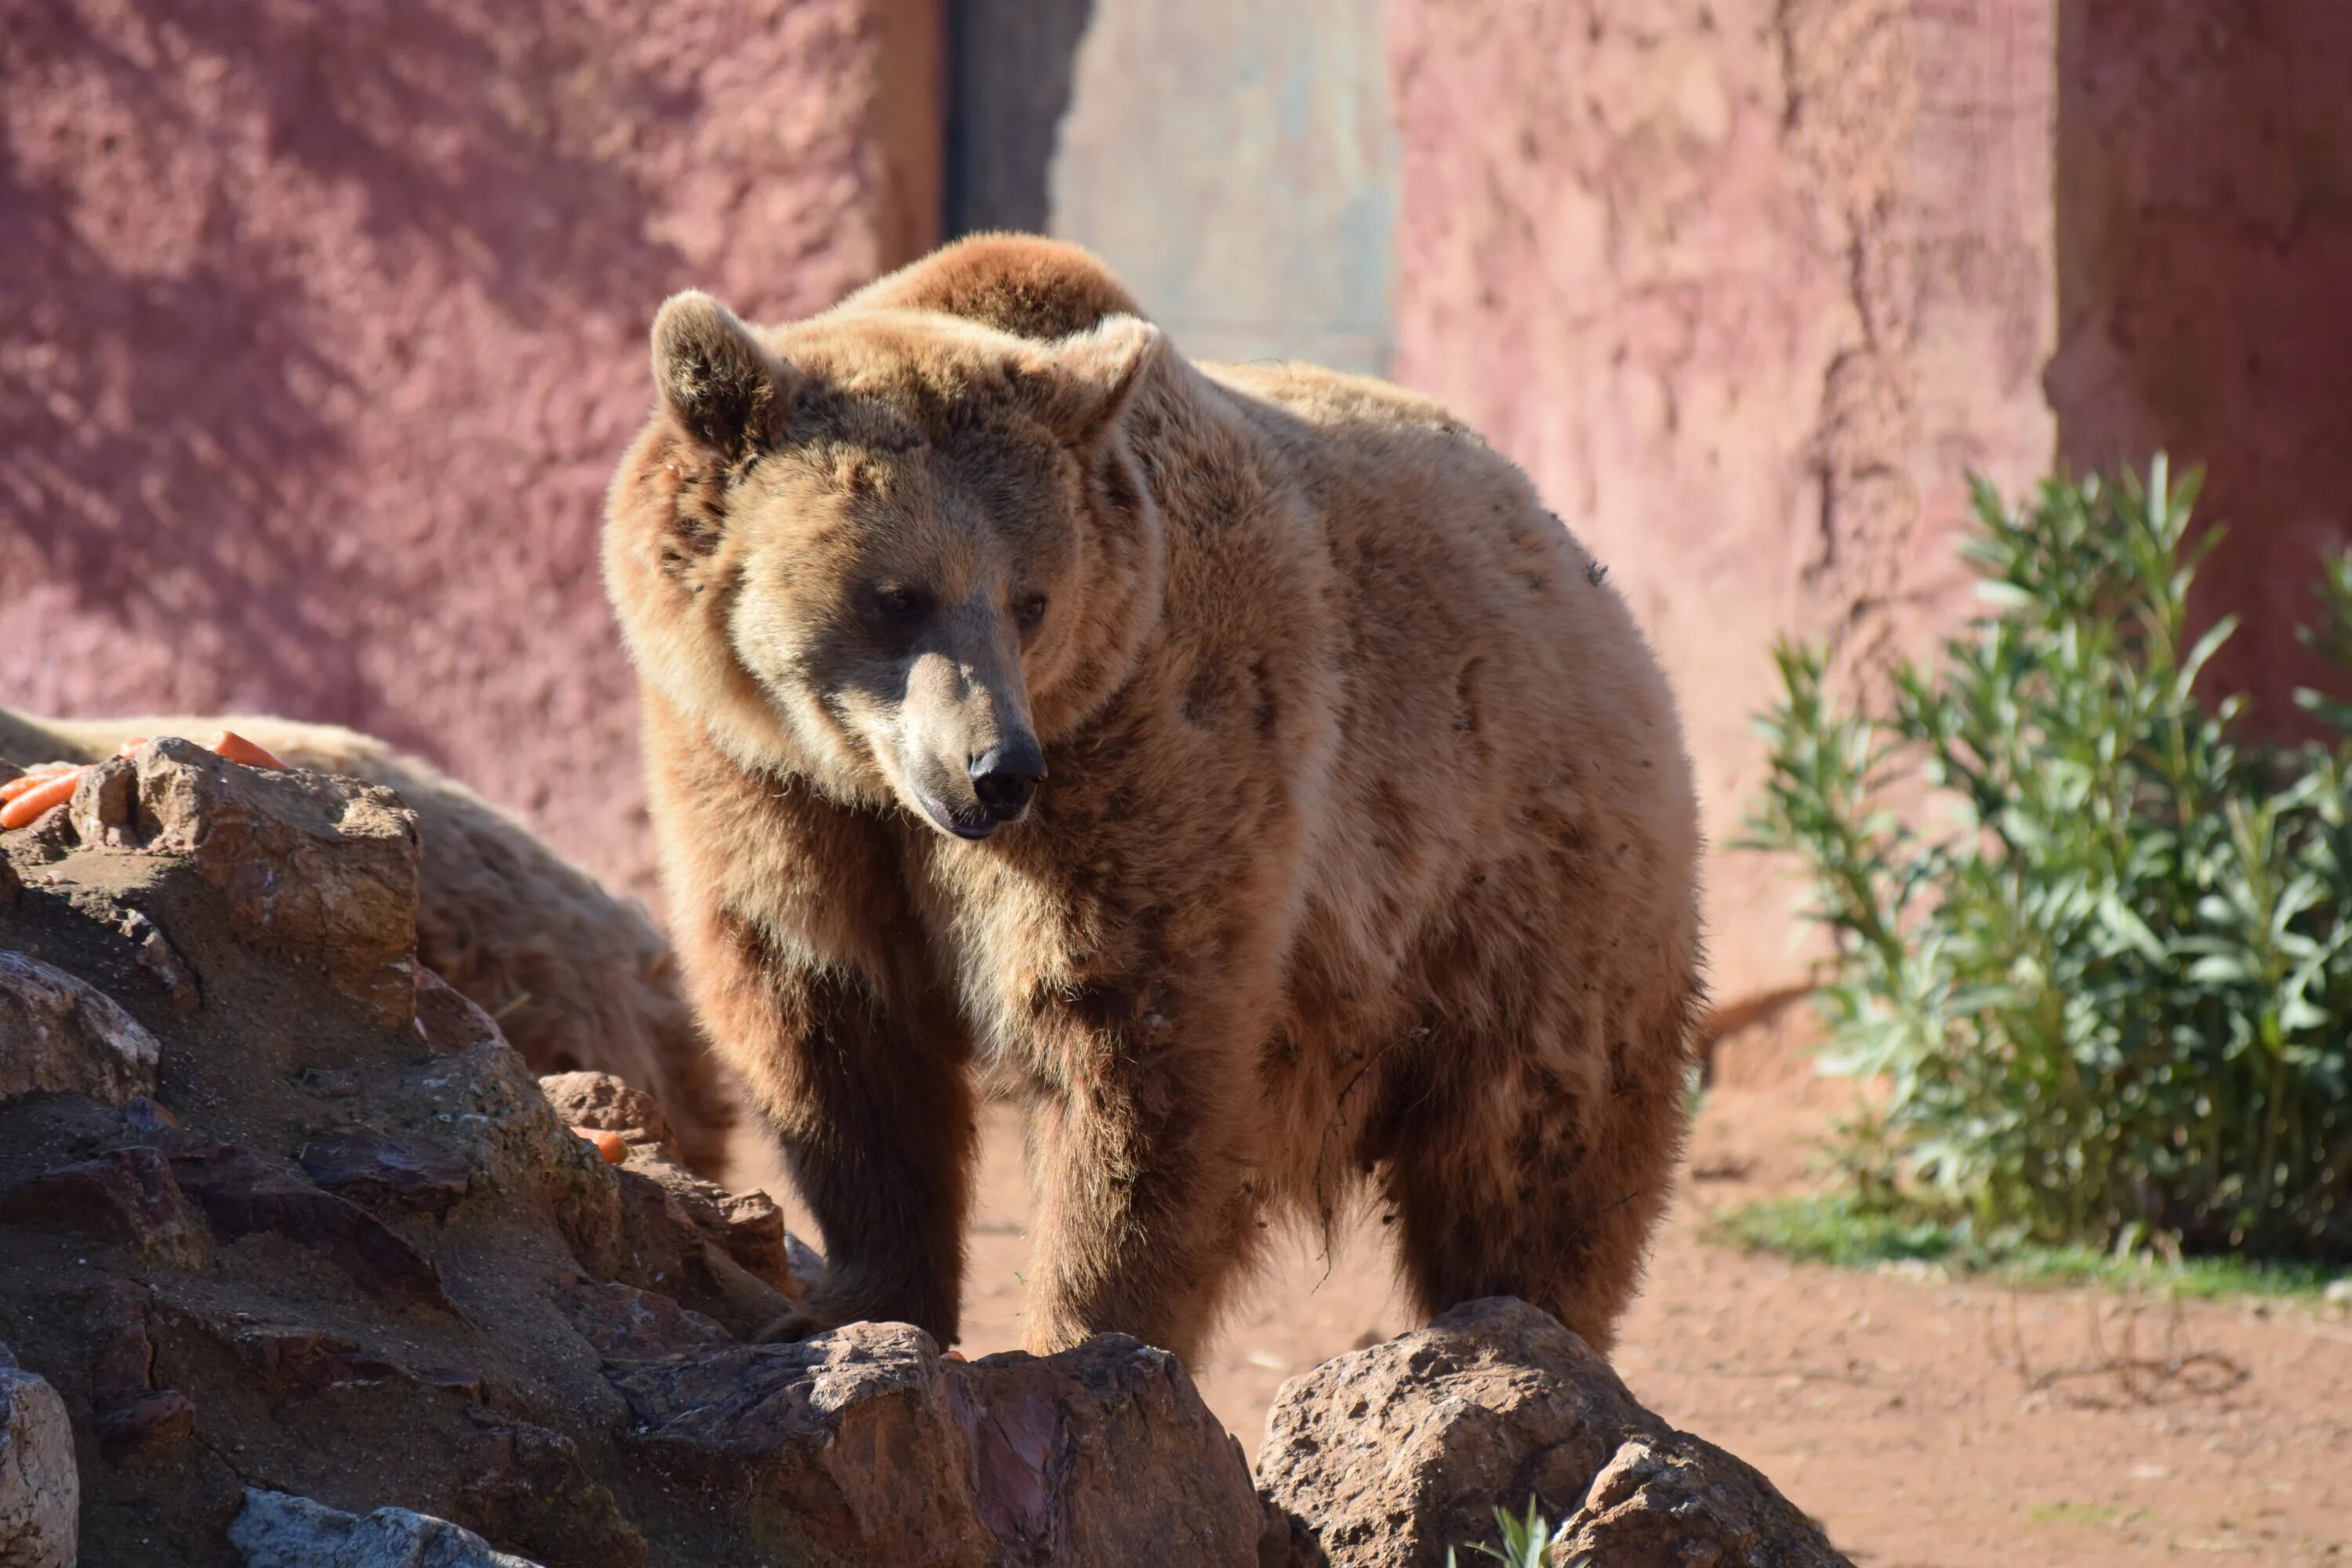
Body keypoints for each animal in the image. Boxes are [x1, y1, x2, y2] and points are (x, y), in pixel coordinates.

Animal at [602, 232, 1712, 1363]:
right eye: (895, 596)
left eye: (1031, 600)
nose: (998, 769)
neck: (873, 784)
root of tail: (1573, 558)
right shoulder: (762, 782)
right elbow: (827, 1029)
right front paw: (852, 1303)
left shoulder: (1145, 752)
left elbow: (1134, 1046)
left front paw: (1084, 1334)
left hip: (1523, 875)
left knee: (1534, 1143)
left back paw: (1525, 1321)